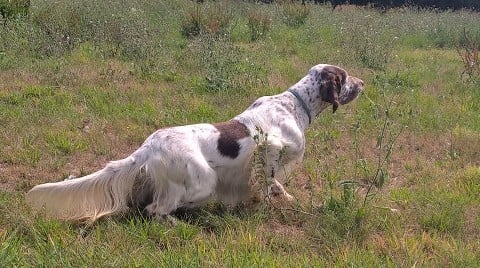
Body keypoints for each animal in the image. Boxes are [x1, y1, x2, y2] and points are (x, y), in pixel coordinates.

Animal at [26, 63, 364, 222]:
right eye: (345, 77)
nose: (363, 82)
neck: (295, 105)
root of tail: (148, 148)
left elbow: (277, 186)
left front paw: (286, 198)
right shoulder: (271, 149)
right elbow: (267, 184)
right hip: (203, 181)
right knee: (156, 209)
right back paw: (181, 220)